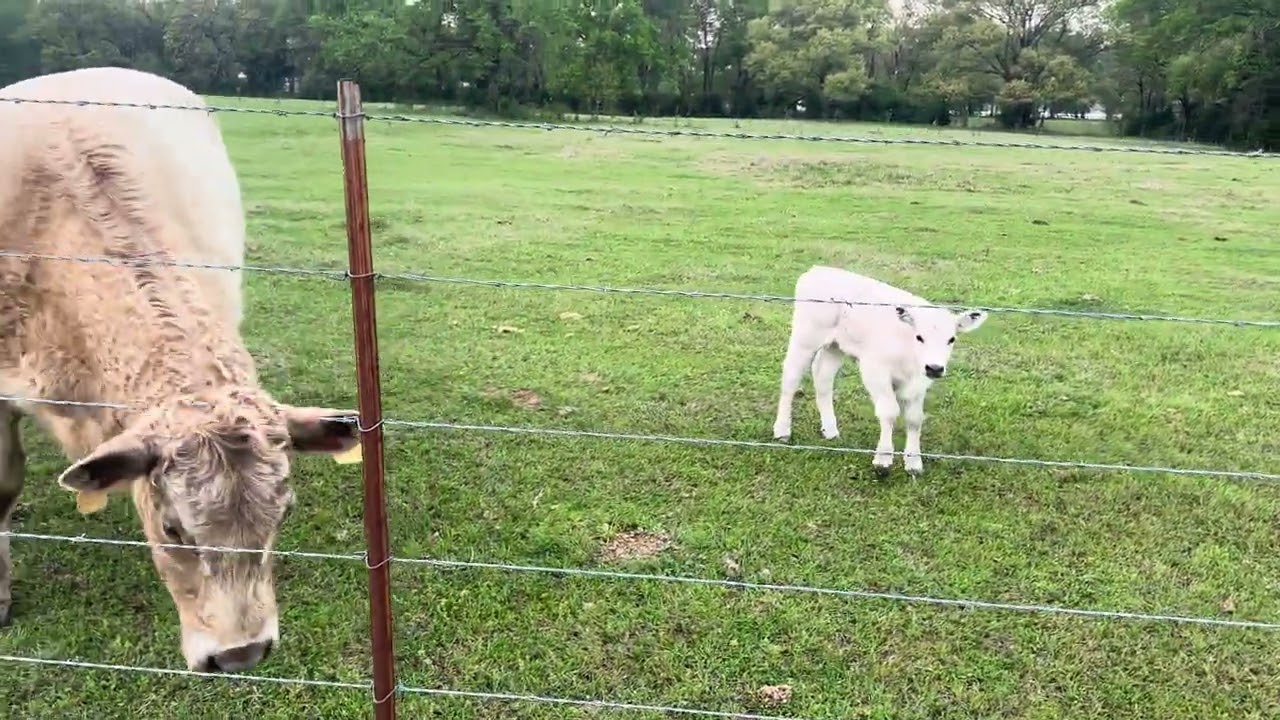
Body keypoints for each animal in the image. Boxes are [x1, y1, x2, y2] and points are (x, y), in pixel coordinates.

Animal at [771, 265, 988, 476]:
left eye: (951, 339)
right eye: (919, 337)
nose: (934, 368)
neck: (908, 353)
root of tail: (816, 270)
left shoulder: (920, 381)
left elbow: (915, 419)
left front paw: (914, 462)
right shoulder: (875, 370)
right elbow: (889, 411)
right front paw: (883, 460)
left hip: (836, 345)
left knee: (822, 376)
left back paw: (830, 430)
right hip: (806, 336)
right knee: (791, 377)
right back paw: (782, 430)